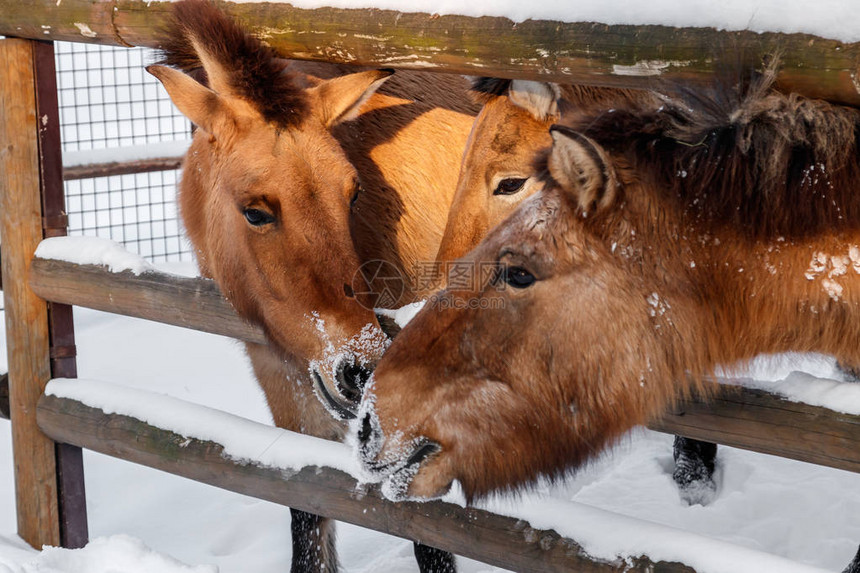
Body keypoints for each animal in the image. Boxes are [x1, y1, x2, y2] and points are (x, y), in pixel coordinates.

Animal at [148, 2, 478, 568]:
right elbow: (307, 514)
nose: (360, 370)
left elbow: (430, 541)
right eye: (256, 211)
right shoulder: (280, 375)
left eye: (353, 192)